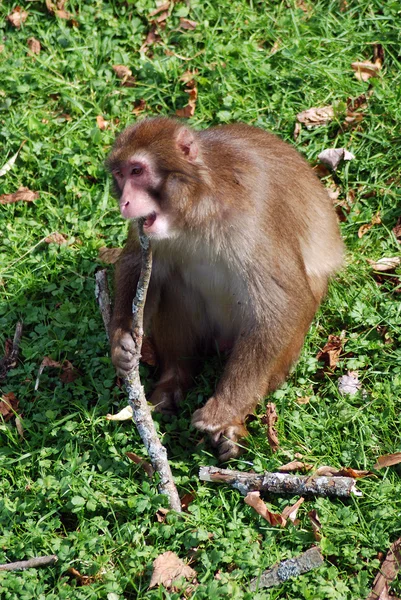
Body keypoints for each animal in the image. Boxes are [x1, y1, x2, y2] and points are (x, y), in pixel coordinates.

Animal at [106, 117, 344, 462]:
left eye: (137, 171)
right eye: (120, 175)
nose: (124, 201)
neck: (197, 210)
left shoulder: (254, 216)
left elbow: (282, 304)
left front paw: (223, 411)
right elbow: (136, 263)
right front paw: (121, 342)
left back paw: (232, 427)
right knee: (173, 284)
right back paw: (173, 381)